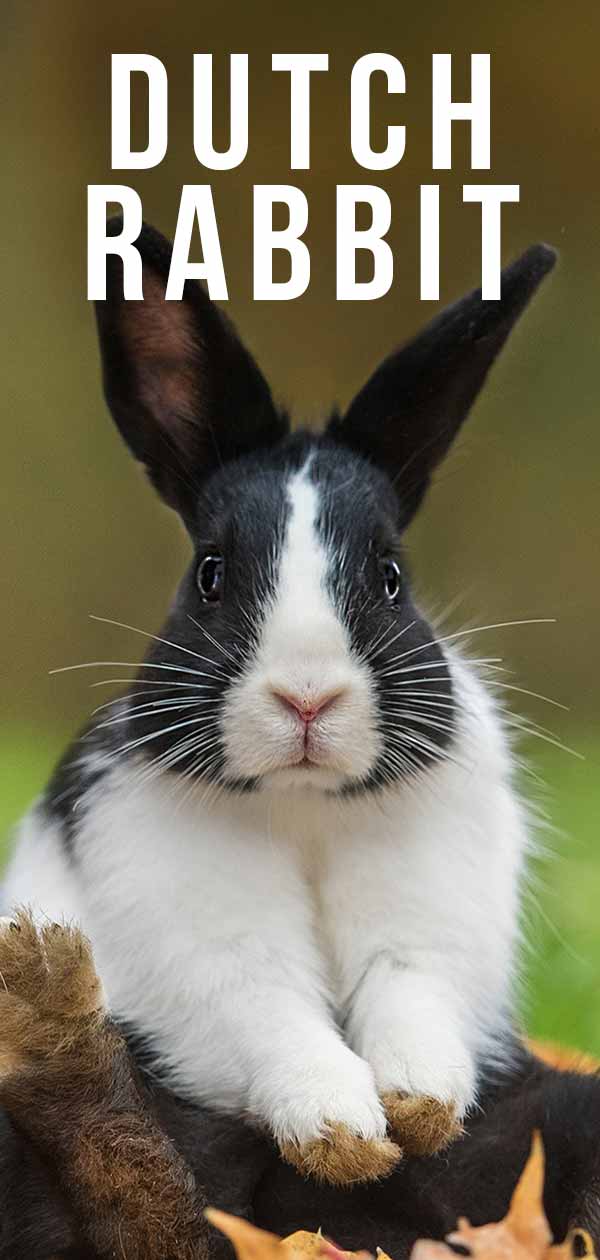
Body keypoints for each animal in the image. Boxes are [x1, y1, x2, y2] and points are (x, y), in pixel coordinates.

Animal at [2, 224, 557, 1189]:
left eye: (391, 575)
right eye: (210, 573)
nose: (306, 696)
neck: (305, 805)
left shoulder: (425, 933)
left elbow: (412, 1000)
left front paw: (417, 1109)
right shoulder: (213, 962)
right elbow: (274, 1023)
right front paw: (342, 1136)